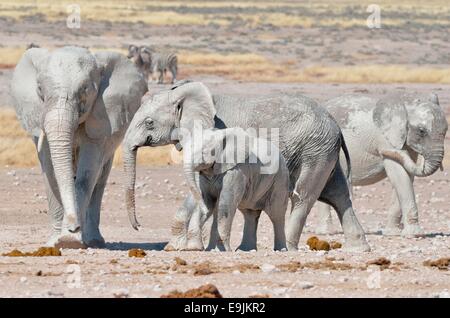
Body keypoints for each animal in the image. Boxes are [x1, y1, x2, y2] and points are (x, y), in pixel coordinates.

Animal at [10, 46, 148, 247]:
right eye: (40, 89)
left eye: (85, 91)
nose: (73, 227)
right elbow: (50, 170)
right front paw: (57, 241)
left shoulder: (101, 117)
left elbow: (87, 173)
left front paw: (72, 240)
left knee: (100, 179)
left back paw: (94, 241)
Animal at [122, 80, 370, 252]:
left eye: (149, 122)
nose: (138, 226)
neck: (183, 93)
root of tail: (335, 124)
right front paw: (179, 248)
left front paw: (183, 247)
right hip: (324, 151)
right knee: (338, 195)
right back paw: (359, 249)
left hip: (314, 152)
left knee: (303, 197)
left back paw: (288, 248)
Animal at [314, 92, 448, 236]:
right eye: (422, 131)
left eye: (446, 130)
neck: (406, 103)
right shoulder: (385, 139)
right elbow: (398, 174)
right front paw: (414, 234)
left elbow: (406, 175)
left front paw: (393, 233)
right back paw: (326, 232)